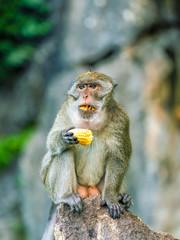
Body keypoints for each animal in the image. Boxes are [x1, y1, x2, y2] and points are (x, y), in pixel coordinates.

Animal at [40, 70, 131, 239]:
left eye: (93, 86)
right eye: (81, 87)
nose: (85, 95)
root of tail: (88, 188)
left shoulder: (121, 119)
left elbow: (118, 158)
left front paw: (111, 196)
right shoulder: (65, 110)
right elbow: (51, 144)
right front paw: (63, 138)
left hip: (98, 190)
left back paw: (123, 198)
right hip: (56, 189)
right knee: (64, 153)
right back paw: (65, 197)